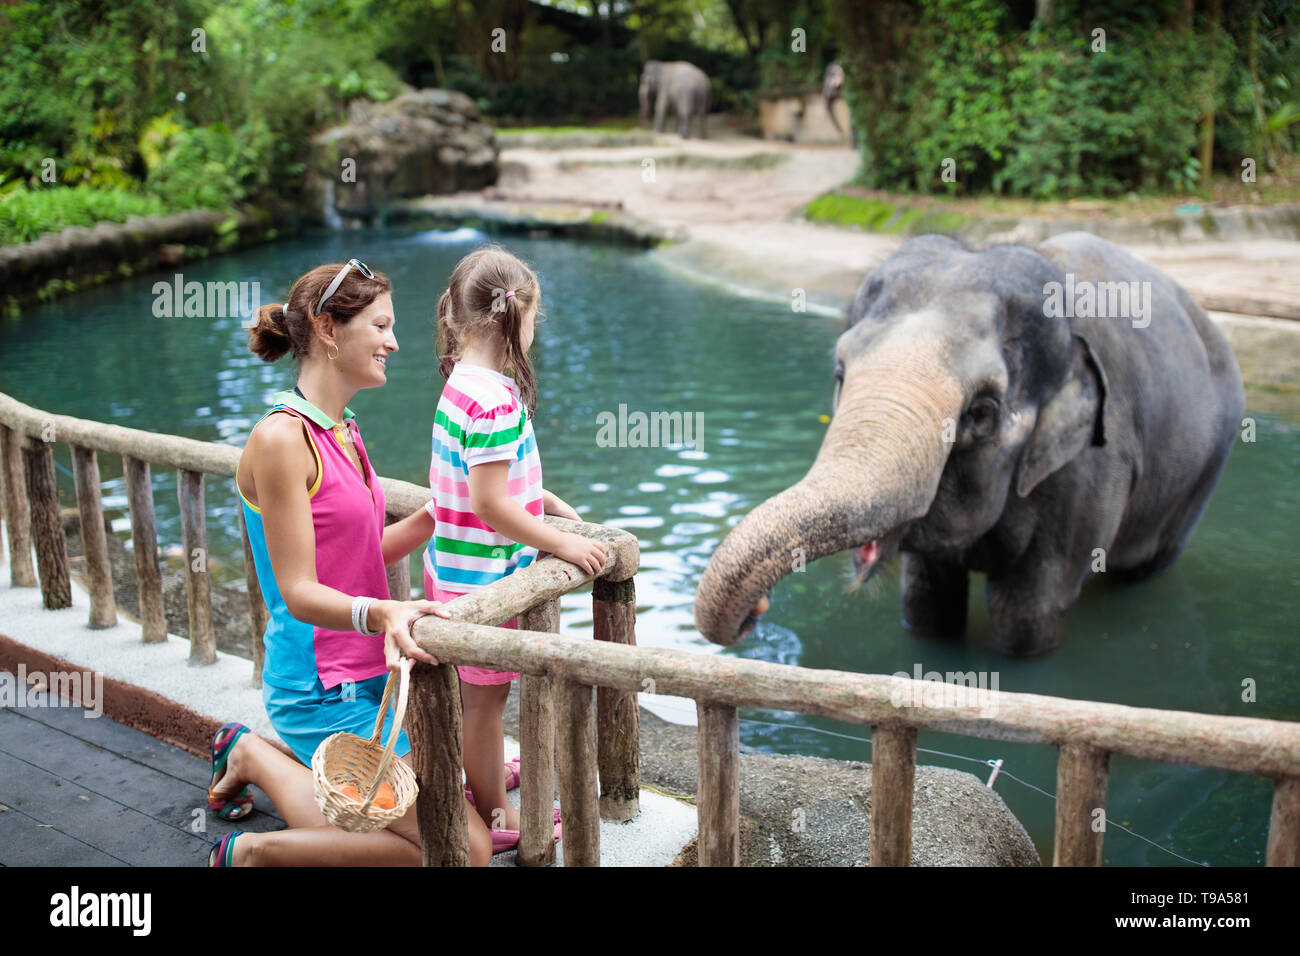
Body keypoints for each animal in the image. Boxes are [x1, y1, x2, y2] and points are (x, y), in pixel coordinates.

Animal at [696, 234, 1242, 658]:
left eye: (981, 411)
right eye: (840, 373)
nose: (757, 610)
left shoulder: (1092, 471)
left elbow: (1027, 616)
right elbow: (926, 603)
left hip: (1207, 465)